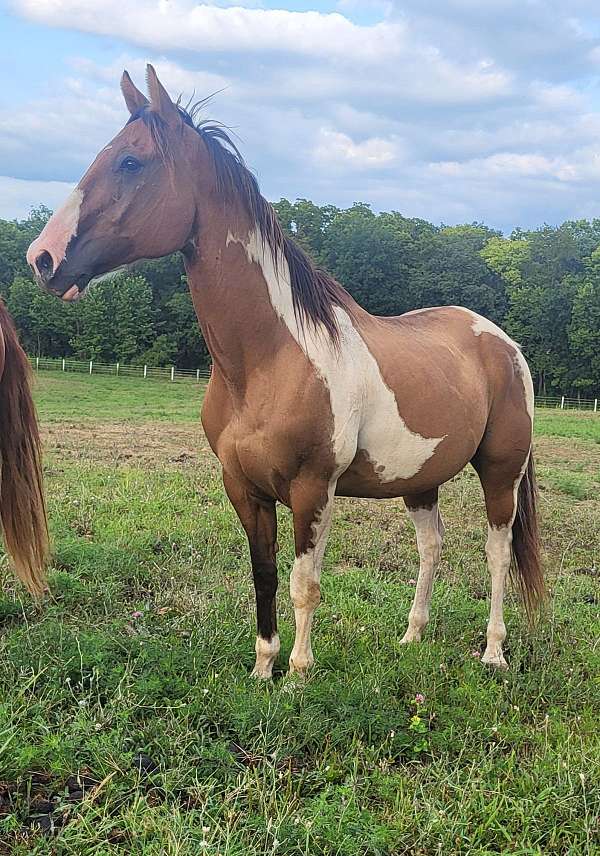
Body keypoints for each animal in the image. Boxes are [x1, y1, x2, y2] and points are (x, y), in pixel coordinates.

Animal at [27, 67, 544, 672]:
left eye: (131, 162)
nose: (42, 258)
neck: (269, 361)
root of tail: (502, 343)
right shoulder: (244, 487)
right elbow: (265, 575)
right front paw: (262, 666)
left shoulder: (311, 489)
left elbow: (304, 583)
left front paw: (298, 670)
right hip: (421, 478)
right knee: (432, 545)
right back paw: (412, 635)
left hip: (501, 471)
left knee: (497, 552)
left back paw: (493, 652)